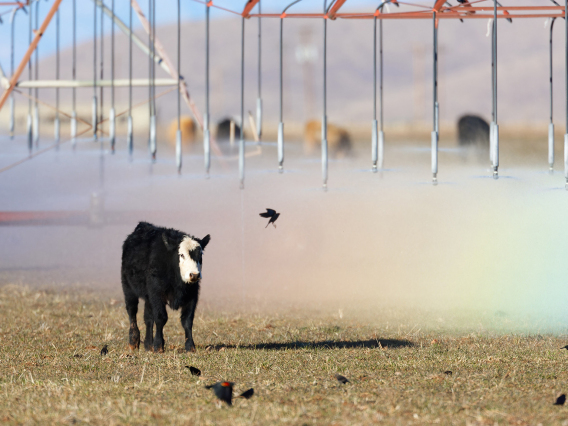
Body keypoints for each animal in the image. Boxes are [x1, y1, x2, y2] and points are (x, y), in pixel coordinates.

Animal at [120, 223, 211, 352]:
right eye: (181, 254)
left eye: (201, 255)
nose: (194, 275)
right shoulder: (157, 294)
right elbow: (160, 318)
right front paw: (158, 345)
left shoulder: (192, 295)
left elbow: (187, 320)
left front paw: (190, 346)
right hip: (128, 288)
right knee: (132, 311)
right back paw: (133, 341)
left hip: (148, 297)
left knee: (148, 318)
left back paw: (148, 345)